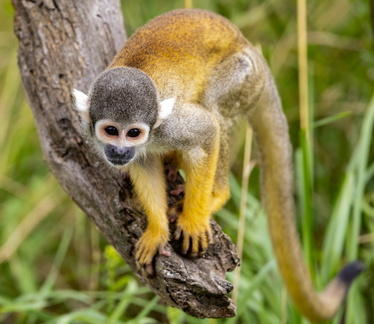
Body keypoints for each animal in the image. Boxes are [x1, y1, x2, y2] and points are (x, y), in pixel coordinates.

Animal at [73, 8, 362, 322]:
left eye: (133, 132)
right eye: (111, 131)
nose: (119, 150)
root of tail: (249, 46)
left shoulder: (169, 125)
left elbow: (208, 129)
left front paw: (194, 220)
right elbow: (144, 163)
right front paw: (157, 230)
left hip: (243, 76)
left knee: (213, 107)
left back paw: (215, 194)